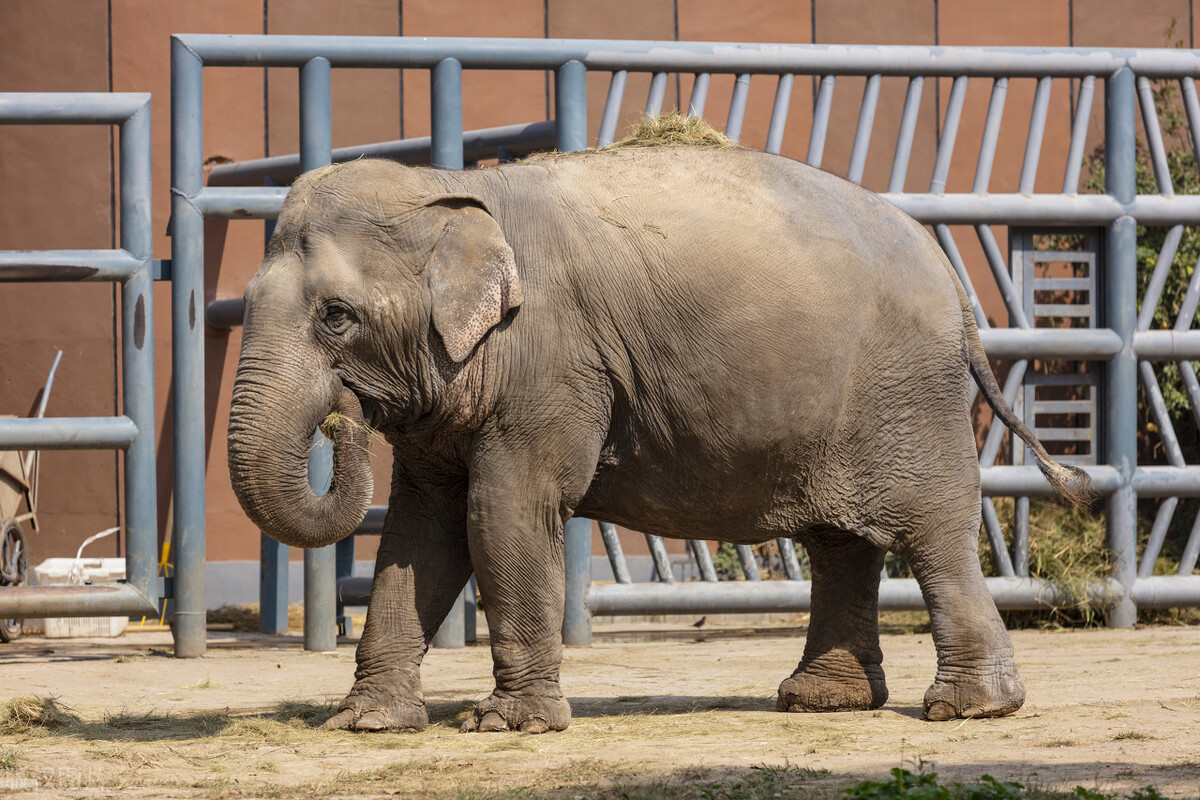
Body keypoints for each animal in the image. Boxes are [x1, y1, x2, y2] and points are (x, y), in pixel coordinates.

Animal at [227, 139, 1091, 734]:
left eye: (336, 316)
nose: (340, 419)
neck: (448, 191)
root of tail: (954, 284)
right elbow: (421, 531)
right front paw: (364, 724)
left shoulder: (552, 362)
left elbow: (506, 512)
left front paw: (508, 726)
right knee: (840, 543)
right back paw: (821, 702)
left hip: (906, 392)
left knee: (933, 534)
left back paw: (969, 710)